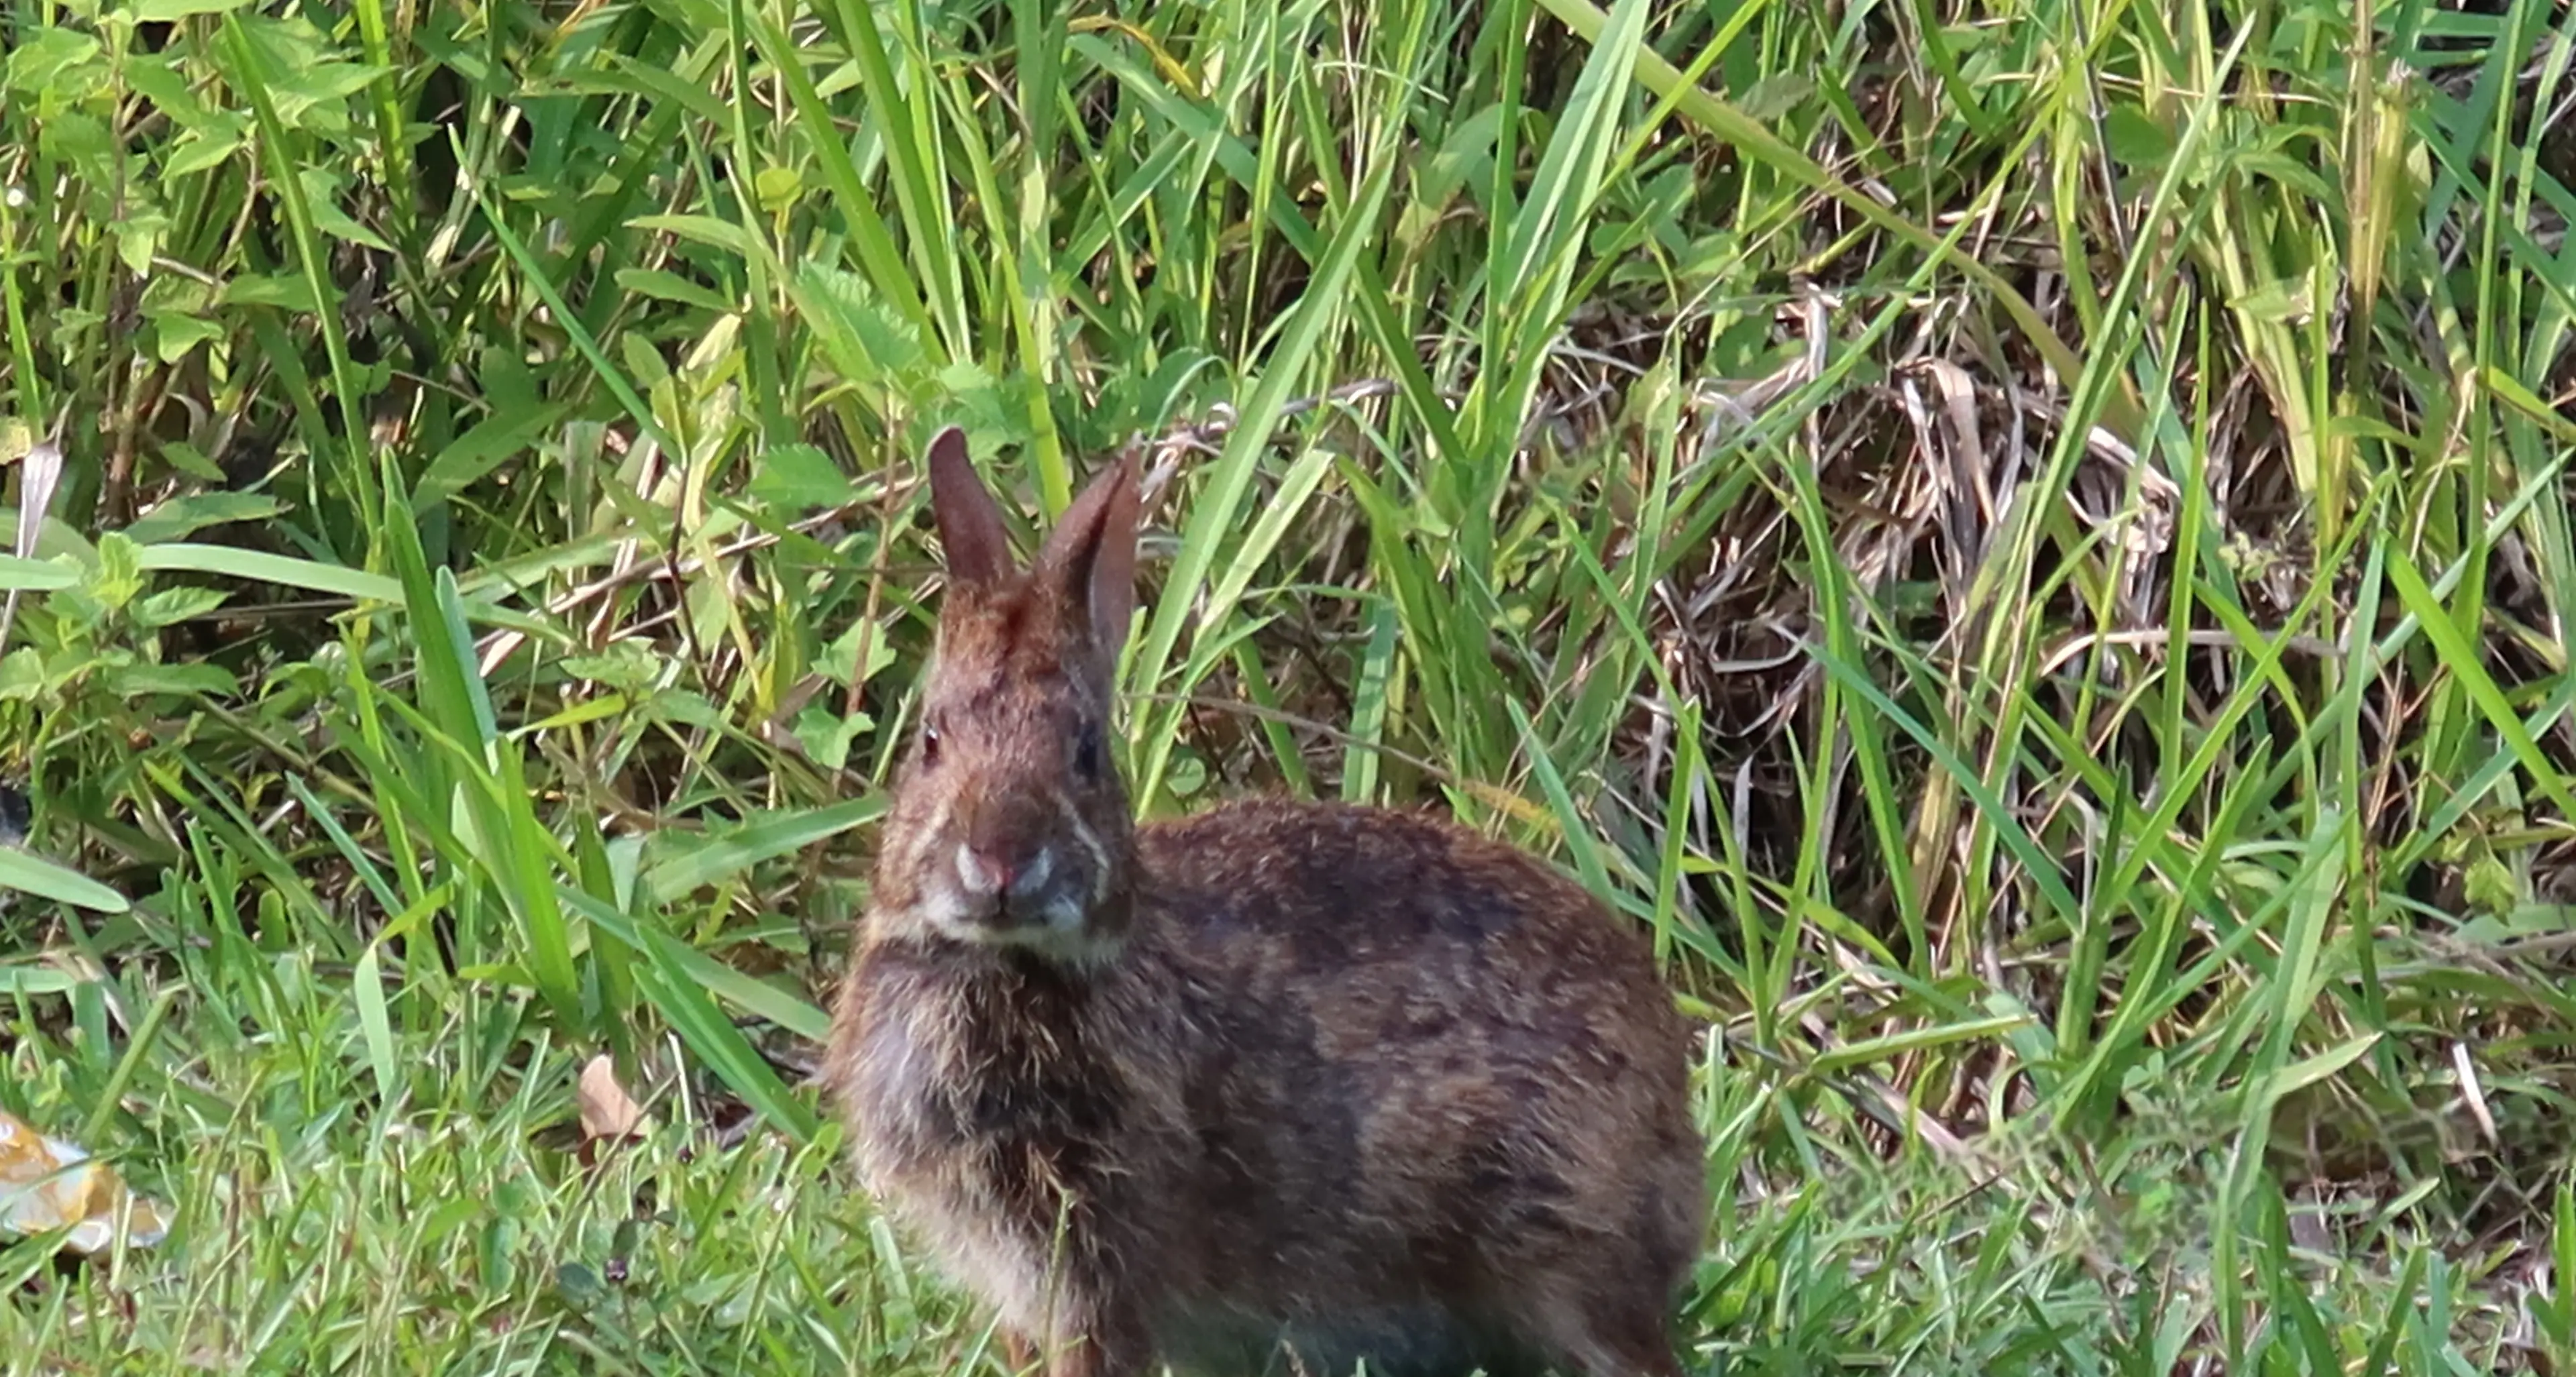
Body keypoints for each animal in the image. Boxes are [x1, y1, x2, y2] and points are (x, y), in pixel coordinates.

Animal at [824, 426, 1709, 1377]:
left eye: (1087, 753)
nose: (999, 861)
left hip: (1553, 1245)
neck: (1005, 964)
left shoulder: (1099, 1263)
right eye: (930, 740)